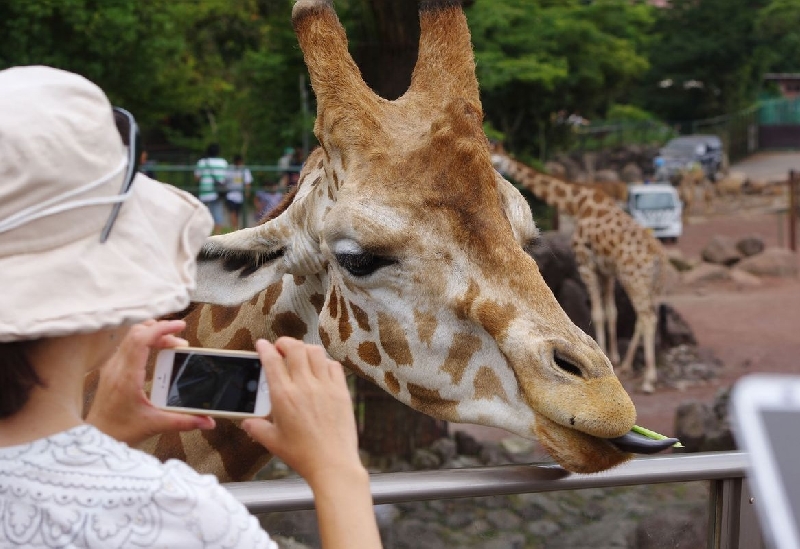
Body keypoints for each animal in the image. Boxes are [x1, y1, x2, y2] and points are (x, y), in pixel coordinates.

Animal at [490, 146, 672, 394]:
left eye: (496, 159)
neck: (576, 204)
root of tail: (660, 259)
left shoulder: (586, 264)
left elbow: (597, 313)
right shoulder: (605, 271)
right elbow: (611, 312)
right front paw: (614, 357)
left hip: (635, 279)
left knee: (647, 318)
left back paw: (648, 380)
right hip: (652, 286)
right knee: (644, 318)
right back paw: (630, 366)